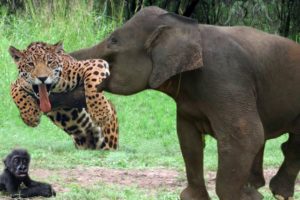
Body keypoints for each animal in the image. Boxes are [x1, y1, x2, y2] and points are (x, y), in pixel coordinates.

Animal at [49, 6, 300, 200]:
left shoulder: (227, 77)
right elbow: (188, 138)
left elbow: (247, 136)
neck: (188, 27)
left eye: (113, 40)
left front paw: (244, 196)